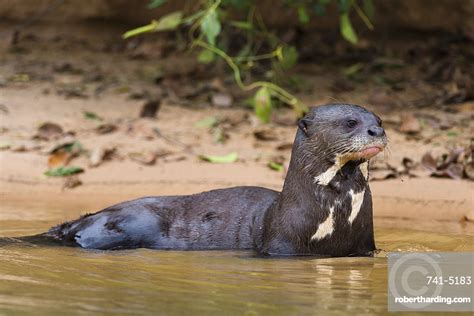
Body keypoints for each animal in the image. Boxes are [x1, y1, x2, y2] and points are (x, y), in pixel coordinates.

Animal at [22, 103, 386, 256]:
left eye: (379, 120)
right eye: (350, 122)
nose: (377, 131)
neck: (336, 218)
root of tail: (80, 221)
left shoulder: (365, 247)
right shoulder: (281, 247)